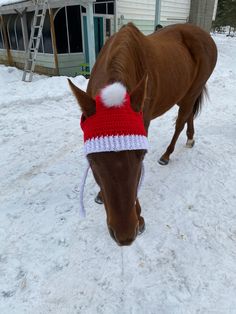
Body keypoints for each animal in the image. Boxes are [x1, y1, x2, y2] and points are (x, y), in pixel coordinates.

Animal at [68, 23, 218, 247]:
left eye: (142, 155)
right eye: (92, 159)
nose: (125, 235)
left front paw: (139, 217)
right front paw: (101, 195)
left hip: (192, 91)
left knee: (181, 121)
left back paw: (167, 154)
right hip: (184, 93)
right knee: (189, 114)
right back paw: (190, 138)